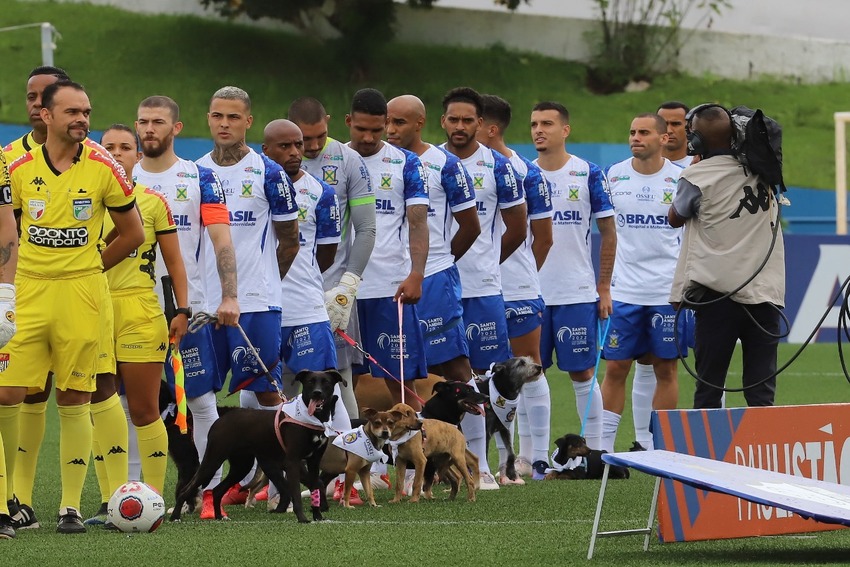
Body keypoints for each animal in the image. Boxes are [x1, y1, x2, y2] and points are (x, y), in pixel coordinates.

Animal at [169, 368, 342, 524]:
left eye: (326, 382)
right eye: (310, 382)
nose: (317, 393)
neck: (310, 418)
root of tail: (221, 419)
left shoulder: (314, 462)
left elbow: (316, 486)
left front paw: (318, 516)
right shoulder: (292, 462)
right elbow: (297, 495)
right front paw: (302, 519)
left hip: (241, 465)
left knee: (218, 490)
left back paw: (219, 516)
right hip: (213, 459)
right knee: (187, 489)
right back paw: (175, 517)